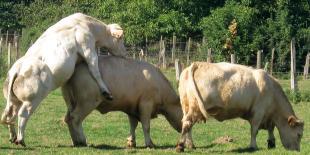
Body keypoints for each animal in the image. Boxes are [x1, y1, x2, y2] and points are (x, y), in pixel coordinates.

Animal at [0, 12, 126, 146]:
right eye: (121, 39)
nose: (125, 53)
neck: (87, 24)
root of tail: (17, 68)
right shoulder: (87, 48)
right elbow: (95, 70)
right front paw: (106, 91)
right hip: (32, 100)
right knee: (22, 114)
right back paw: (21, 139)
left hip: (14, 100)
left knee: (9, 115)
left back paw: (13, 137)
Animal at [60, 55, 188, 148]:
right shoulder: (146, 104)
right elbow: (146, 125)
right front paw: (149, 143)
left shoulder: (132, 107)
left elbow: (133, 124)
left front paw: (131, 142)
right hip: (87, 101)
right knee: (75, 118)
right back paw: (82, 141)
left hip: (72, 102)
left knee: (68, 118)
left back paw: (75, 141)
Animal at [176, 61, 304, 151]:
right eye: (299, 135)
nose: (297, 150)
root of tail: (198, 64)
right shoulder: (258, 112)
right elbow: (254, 131)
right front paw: (253, 146)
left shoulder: (268, 116)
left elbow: (270, 129)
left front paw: (271, 143)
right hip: (195, 108)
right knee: (187, 124)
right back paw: (181, 146)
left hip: (188, 107)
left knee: (187, 124)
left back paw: (191, 145)